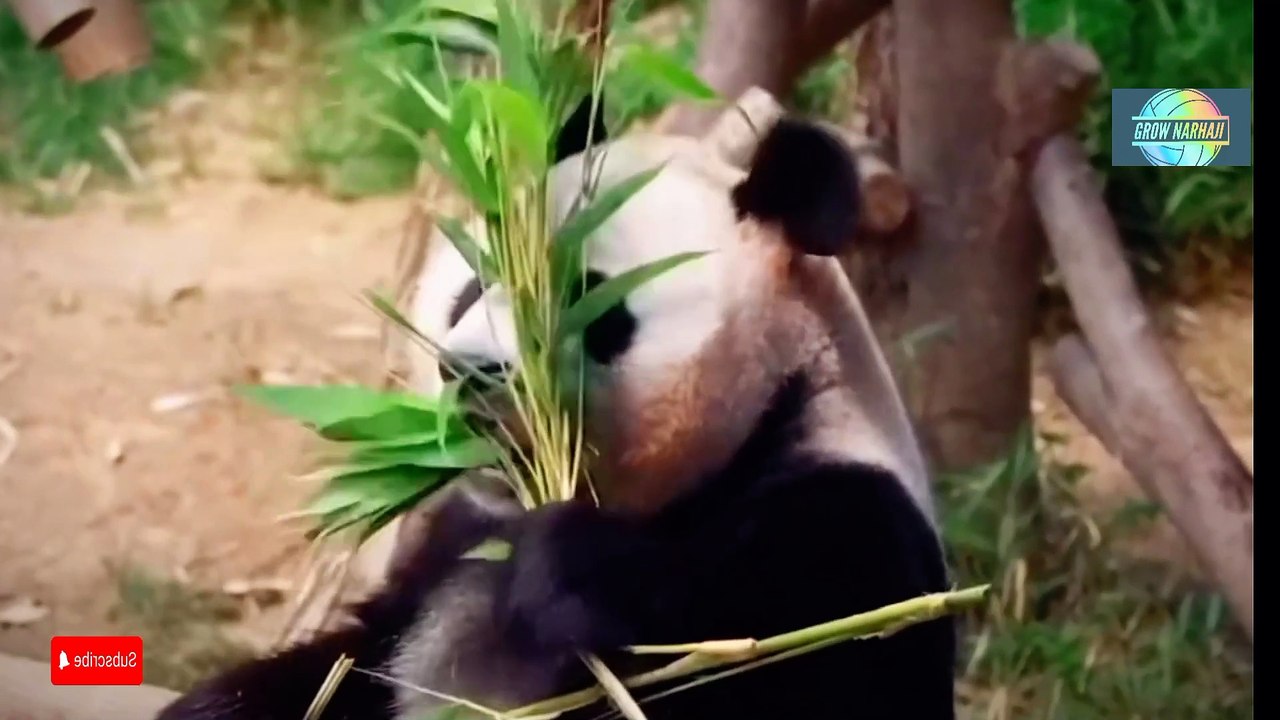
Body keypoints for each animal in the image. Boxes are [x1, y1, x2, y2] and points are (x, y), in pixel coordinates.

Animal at [156, 96, 956, 720]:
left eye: (584, 302)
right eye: (475, 286)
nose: (469, 372)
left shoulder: (843, 531)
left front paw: (568, 573)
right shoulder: (453, 543)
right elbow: (349, 662)